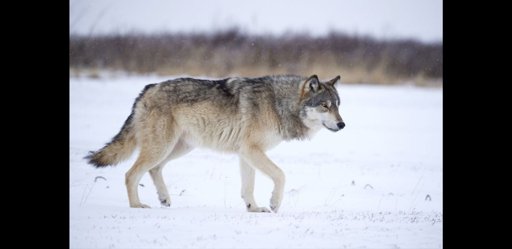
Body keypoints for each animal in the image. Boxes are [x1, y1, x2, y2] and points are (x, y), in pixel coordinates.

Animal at [86, 74, 346, 212]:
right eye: (325, 106)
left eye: (338, 105)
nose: (343, 124)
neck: (278, 104)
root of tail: (147, 89)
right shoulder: (252, 150)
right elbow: (280, 175)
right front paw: (273, 203)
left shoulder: (246, 154)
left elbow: (248, 188)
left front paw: (254, 209)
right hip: (162, 147)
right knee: (131, 174)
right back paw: (137, 206)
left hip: (178, 148)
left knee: (153, 169)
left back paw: (164, 199)